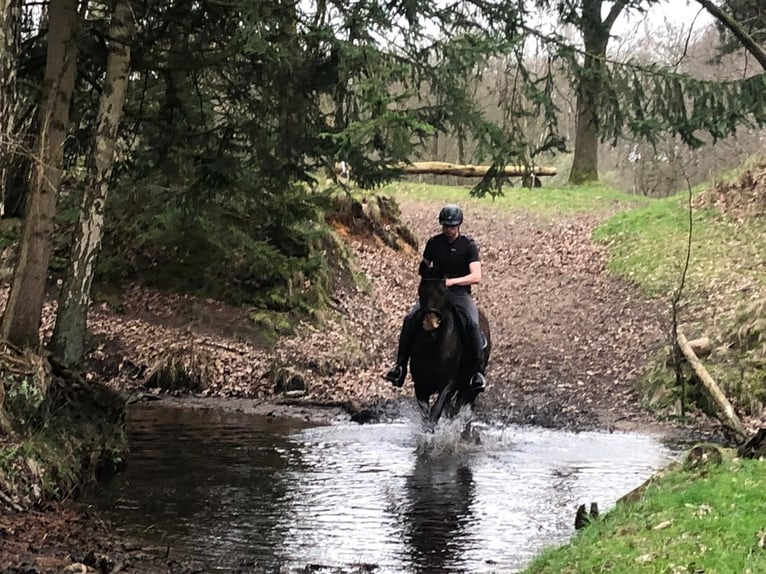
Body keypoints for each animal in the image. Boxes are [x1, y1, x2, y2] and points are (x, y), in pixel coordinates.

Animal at [409, 269, 492, 428]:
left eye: (442, 292)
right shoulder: (421, 386)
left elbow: (435, 413)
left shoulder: (448, 385)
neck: (433, 344)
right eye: (420, 290)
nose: (429, 322)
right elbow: (426, 417)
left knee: (464, 409)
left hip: (470, 388)